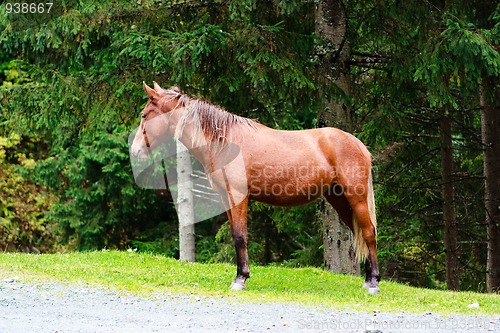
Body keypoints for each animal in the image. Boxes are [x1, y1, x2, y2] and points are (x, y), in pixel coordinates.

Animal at [131, 82, 380, 294]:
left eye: (144, 115)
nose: (135, 151)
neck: (224, 141)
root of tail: (358, 144)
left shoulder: (238, 196)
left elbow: (241, 236)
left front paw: (240, 279)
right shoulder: (226, 198)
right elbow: (235, 235)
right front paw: (241, 275)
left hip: (356, 197)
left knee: (369, 232)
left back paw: (374, 283)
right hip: (340, 201)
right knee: (360, 231)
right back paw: (368, 279)